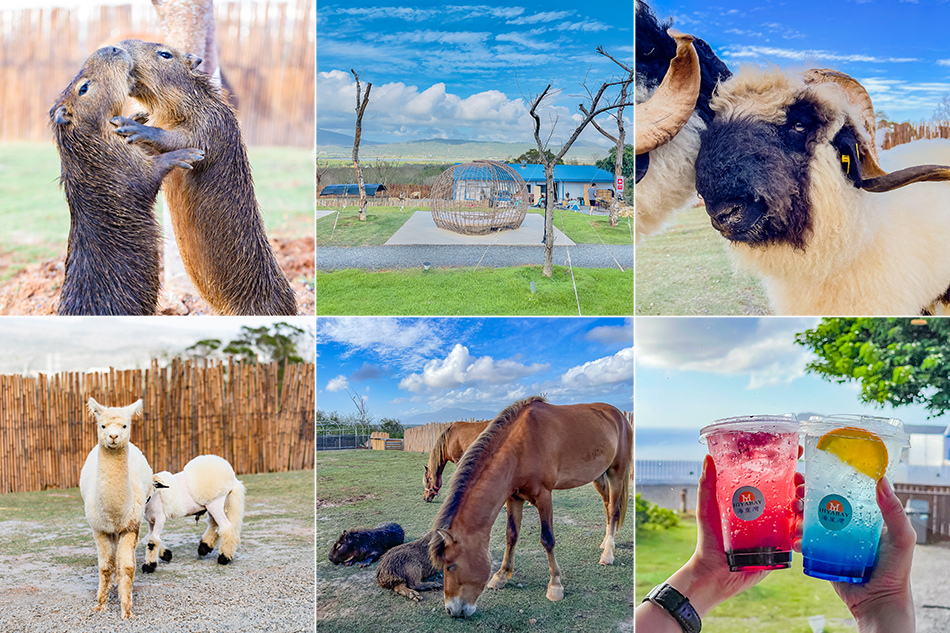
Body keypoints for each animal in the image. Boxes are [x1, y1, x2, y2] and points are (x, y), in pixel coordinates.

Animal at [78, 398, 152, 620]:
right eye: (102, 425)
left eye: (125, 425)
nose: (113, 436)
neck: (114, 513)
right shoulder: (99, 528)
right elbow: (104, 566)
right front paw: (100, 604)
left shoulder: (130, 526)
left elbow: (127, 566)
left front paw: (126, 609)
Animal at [430, 396, 632, 616]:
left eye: (451, 566)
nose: (452, 610)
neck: (521, 446)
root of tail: (619, 416)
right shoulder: (514, 498)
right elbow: (511, 536)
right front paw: (501, 575)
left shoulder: (544, 496)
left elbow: (547, 539)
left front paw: (555, 586)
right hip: (598, 475)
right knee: (607, 504)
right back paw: (606, 542)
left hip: (616, 473)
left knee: (613, 510)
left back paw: (608, 553)